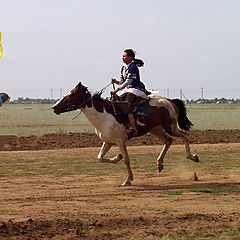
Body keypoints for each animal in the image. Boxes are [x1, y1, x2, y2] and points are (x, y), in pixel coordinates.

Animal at [52, 82, 199, 186]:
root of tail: (171, 101)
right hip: (155, 129)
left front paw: (128, 180)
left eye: (71, 95)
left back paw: (193, 157)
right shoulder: (108, 141)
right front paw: (117, 156)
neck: (104, 116)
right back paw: (159, 164)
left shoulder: (120, 141)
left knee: (185, 136)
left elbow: (127, 160)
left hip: (170, 127)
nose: (54, 107)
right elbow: (100, 157)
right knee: (168, 141)